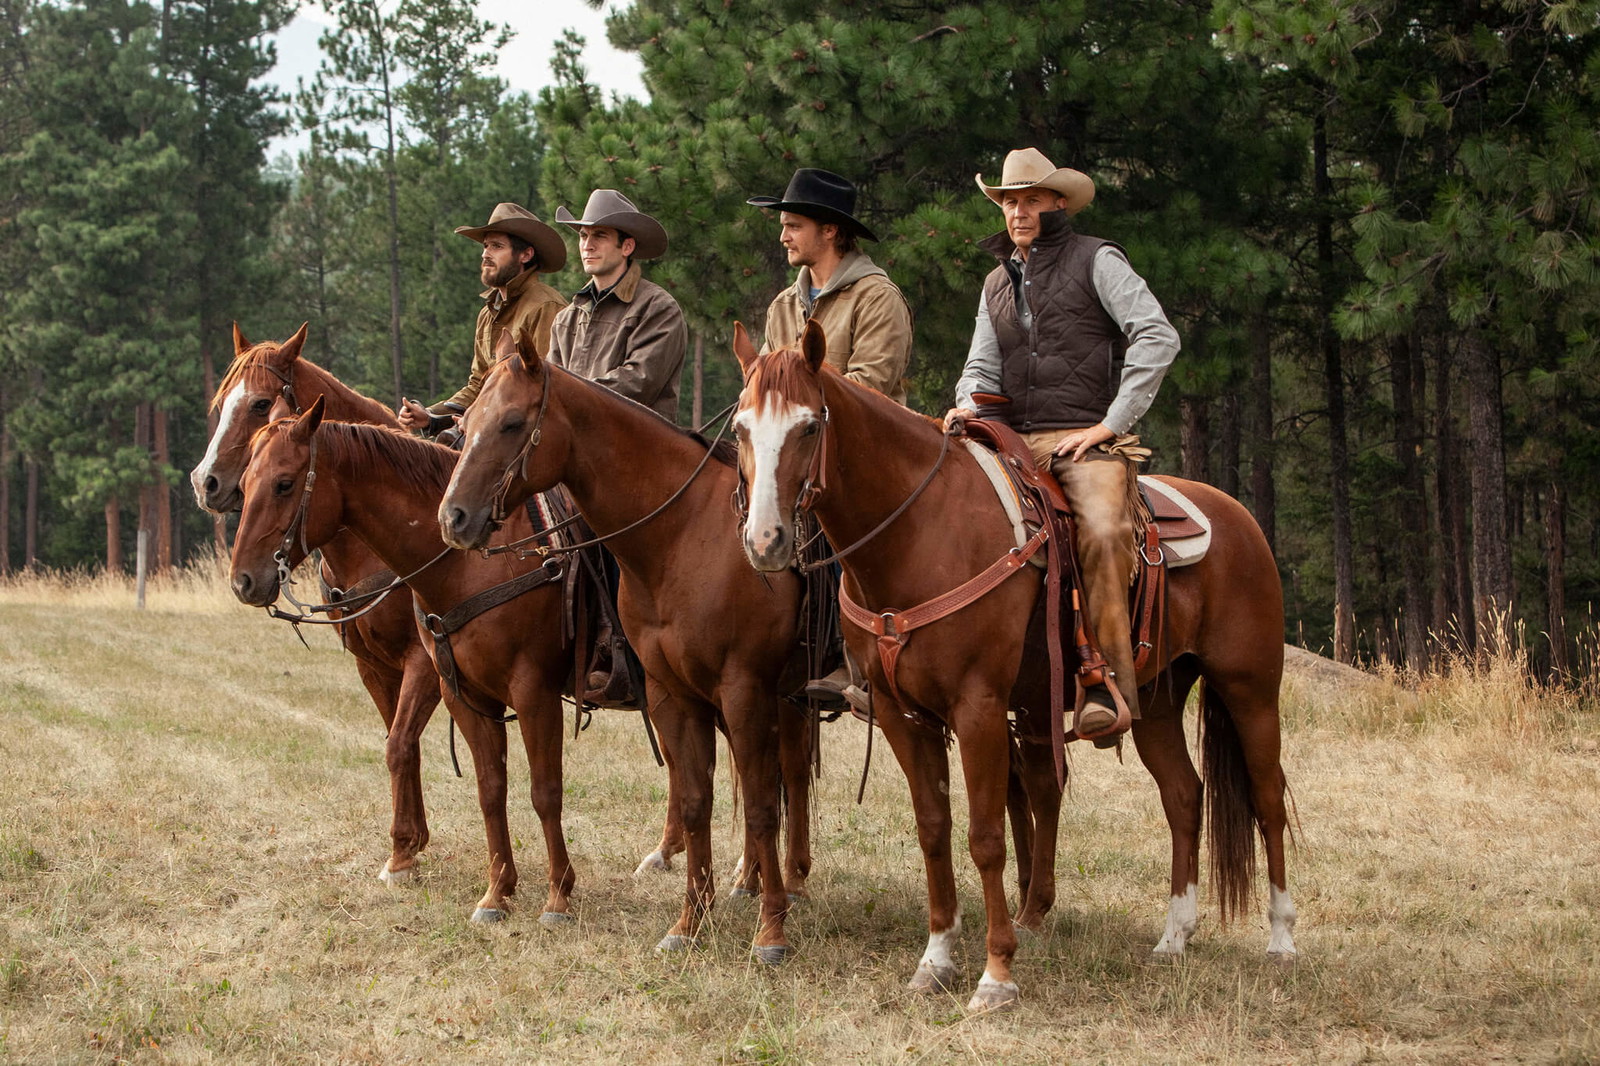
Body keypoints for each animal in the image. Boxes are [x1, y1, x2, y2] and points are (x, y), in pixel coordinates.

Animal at [192, 321, 444, 877]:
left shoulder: (425, 661)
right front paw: (411, 844)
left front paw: (401, 853)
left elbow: (400, 743)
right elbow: (401, 743)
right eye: (220, 402)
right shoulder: (373, 665)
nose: (205, 482)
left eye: (261, 403)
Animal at [435, 350, 806, 960]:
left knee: (786, 784)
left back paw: (786, 885)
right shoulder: (676, 694)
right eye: (464, 426)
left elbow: (758, 805)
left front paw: (771, 931)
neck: (686, 534)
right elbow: (696, 799)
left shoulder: (743, 689)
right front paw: (689, 922)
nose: (454, 518)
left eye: (512, 423)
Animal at [732, 323, 1292, 1011]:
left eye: (810, 426)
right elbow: (934, 828)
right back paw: (1174, 937)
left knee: (1267, 797)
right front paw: (936, 958)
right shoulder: (899, 713)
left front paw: (996, 972)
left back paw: (1281, 940)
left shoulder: (977, 708)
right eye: (740, 428)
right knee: (1185, 796)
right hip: (1157, 700)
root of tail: (1241, 519)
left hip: (1250, 690)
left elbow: (986, 835)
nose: (765, 542)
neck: (921, 532)